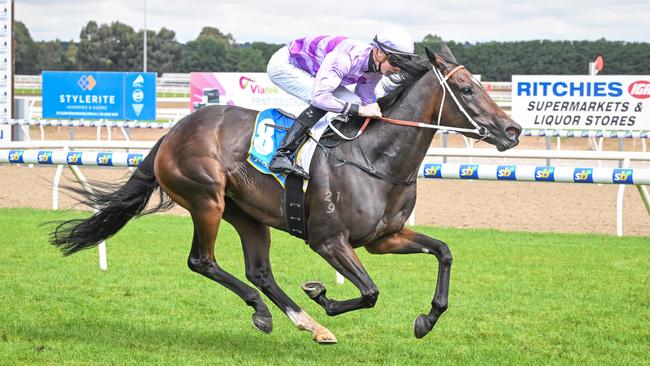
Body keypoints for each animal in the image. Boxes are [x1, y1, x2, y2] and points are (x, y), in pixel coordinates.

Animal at [50, 48, 520, 344]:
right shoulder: (329, 241)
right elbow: (370, 292)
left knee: (259, 271)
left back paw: (307, 324)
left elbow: (443, 251)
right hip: (207, 200)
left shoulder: (384, 238)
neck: (375, 158)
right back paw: (267, 312)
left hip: (247, 214)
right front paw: (322, 294)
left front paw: (426, 320)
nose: (512, 130)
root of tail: (173, 131)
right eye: (467, 90)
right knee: (203, 261)